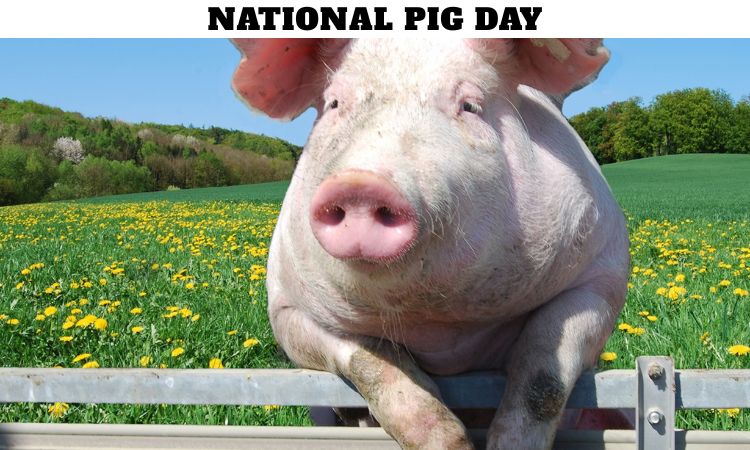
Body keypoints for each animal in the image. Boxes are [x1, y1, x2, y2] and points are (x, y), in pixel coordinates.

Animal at [231, 38, 629, 450]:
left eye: (470, 105)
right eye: (334, 104)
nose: (360, 183)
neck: (441, 326)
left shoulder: (602, 273)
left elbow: (543, 378)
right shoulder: (287, 309)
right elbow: (373, 366)